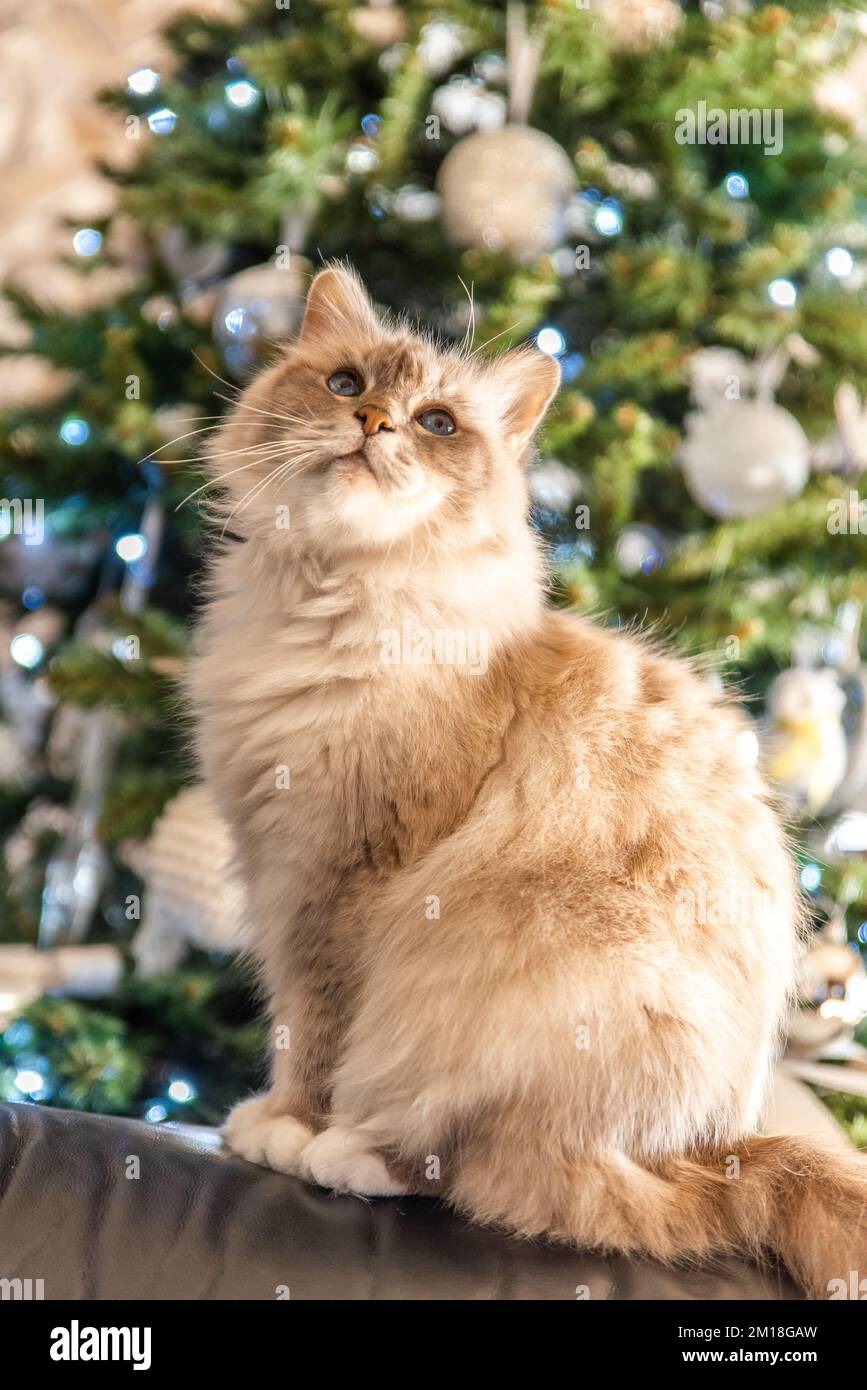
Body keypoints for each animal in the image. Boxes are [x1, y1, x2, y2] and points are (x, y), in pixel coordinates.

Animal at [193, 265, 867, 1295]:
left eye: (436, 423)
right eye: (347, 385)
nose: (373, 424)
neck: (329, 604)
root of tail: (705, 1152)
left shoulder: (338, 881)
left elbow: (310, 1035)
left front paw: (281, 1128)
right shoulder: (274, 860)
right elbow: (293, 1025)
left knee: (489, 1169)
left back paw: (347, 1154)